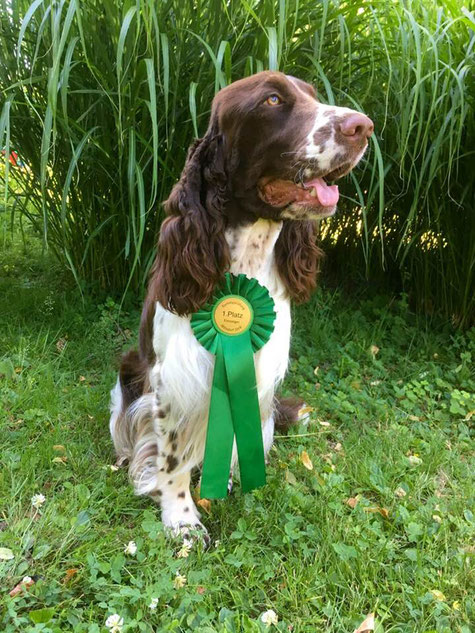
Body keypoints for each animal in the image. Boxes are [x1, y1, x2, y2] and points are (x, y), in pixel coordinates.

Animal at [109, 70, 374, 532]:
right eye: (272, 100)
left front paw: (230, 476)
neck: (245, 260)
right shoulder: (171, 376)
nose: (363, 126)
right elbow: (171, 457)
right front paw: (181, 519)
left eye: (313, 95)